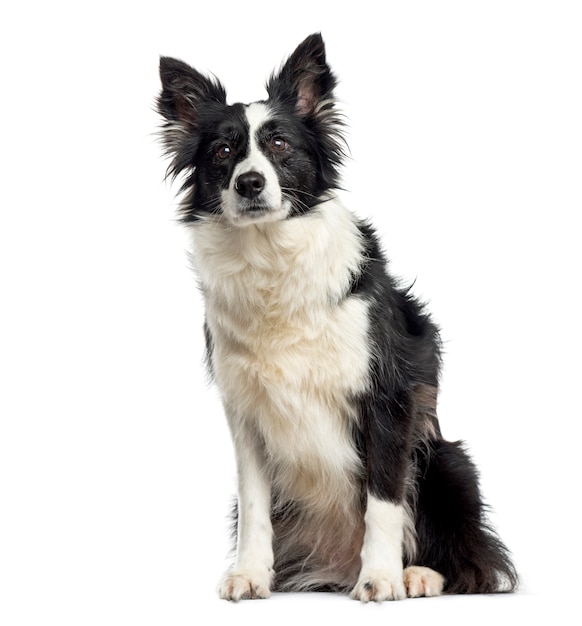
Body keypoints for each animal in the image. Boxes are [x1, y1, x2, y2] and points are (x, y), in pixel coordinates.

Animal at [156, 31, 520, 596]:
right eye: (223, 151)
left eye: (280, 145)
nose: (249, 183)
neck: (272, 259)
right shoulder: (246, 412)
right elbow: (256, 502)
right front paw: (250, 574)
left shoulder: (389, 397)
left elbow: (384, 499)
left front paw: (382, 577)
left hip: (447, 460)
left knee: (471, 559)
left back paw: (416, 573)